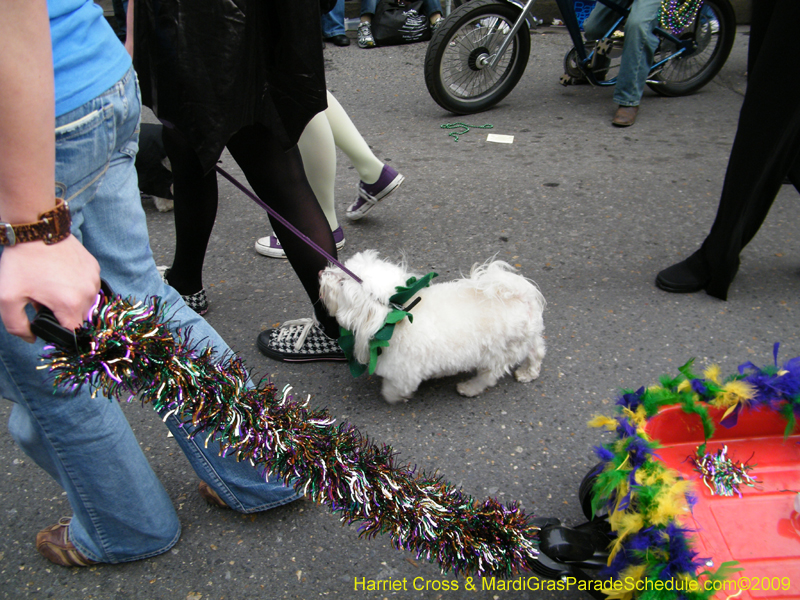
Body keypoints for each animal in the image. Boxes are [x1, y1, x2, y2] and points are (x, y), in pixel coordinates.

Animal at [318, 248, 544, 404]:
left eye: (342, 283)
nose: (321, 272)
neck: (397, 314)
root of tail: (520, 295)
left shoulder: (404, 372)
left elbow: (394, 389)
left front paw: (394, 397)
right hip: (525, 339)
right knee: (537, 351)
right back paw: (528, 372)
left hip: (497, 353)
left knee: (488, 377)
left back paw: (469, 387)